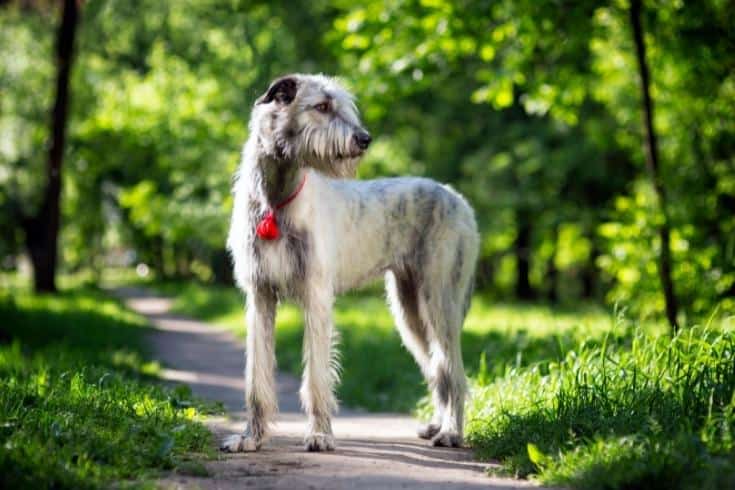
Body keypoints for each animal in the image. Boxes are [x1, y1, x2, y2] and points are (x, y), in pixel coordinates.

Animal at [221, 72, 480, 452]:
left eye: (343, 106)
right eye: (322, 106)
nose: (365, 139)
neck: (276, 199)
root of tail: (458, 198)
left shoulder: (316, 295)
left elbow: (317, 375)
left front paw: (319, 434)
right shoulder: (260, 296)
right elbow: (257, 375)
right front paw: (250, 438)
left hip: (440, 300)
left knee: (454, 371)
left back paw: (451, 432)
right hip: (409, 309)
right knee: (438, 370)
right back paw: (437, 424)